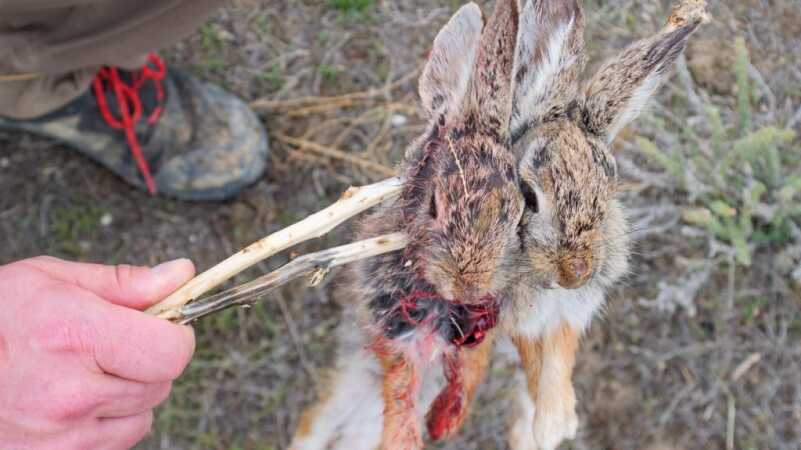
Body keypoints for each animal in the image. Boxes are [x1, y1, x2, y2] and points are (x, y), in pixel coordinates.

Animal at [289, 1, 524, 449]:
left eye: (518, 211)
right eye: (434, 204)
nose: (466, 287)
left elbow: (471, 367)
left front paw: (448, 419)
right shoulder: (388, 318)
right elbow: (401, 379)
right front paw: (405, 435)